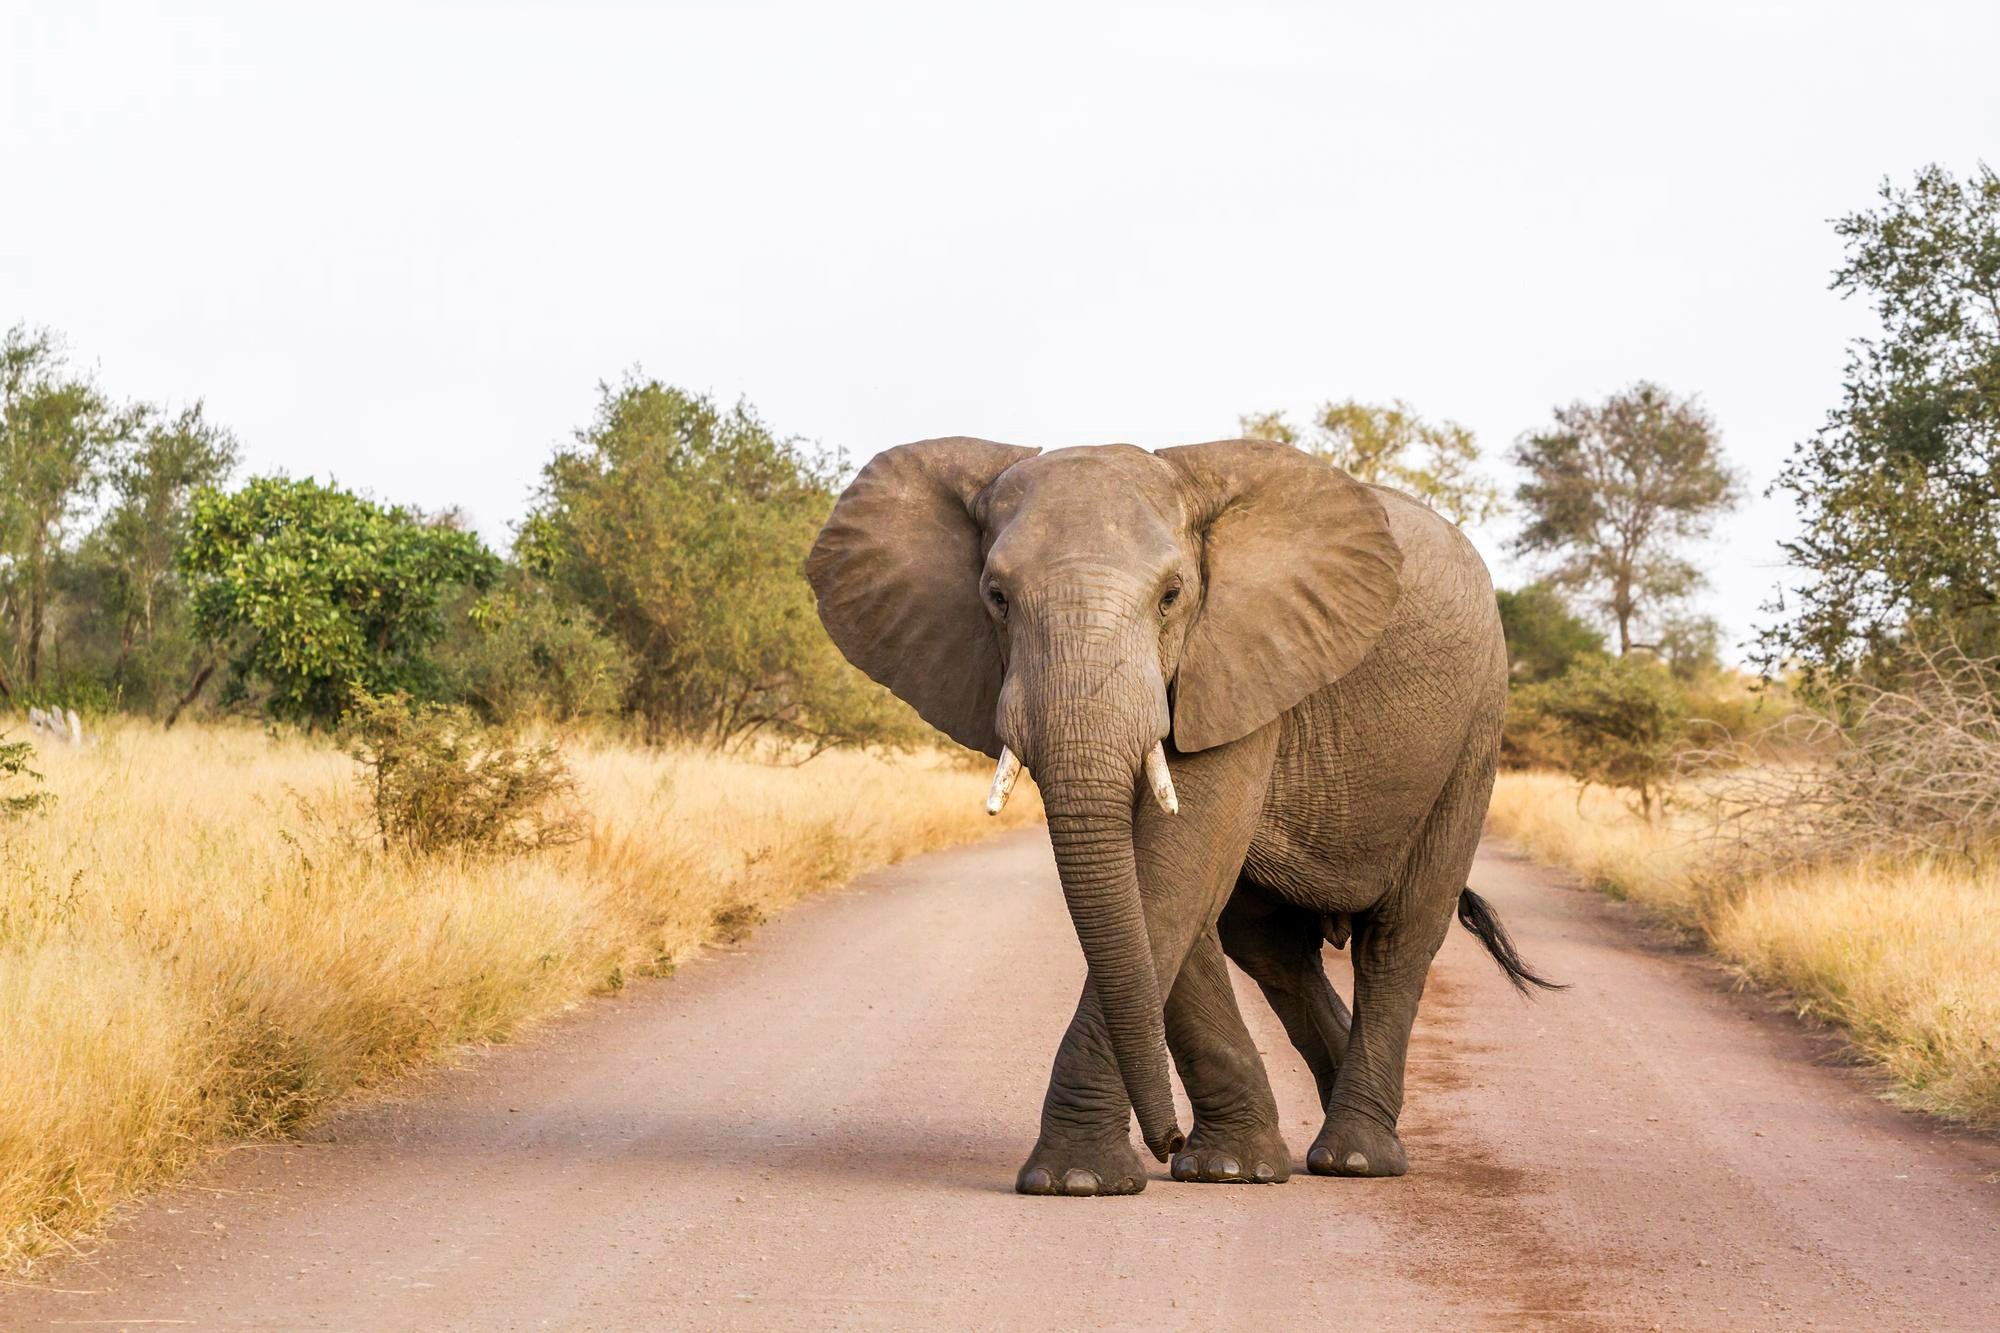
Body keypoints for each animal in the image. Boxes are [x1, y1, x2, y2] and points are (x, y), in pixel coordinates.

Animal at [807, 437, 1559, 1196]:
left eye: (1172, 596)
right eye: (996, 598)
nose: (1162, 1138)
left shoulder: (1240, 659)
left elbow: (1174, 870)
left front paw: (1078, 1178)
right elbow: (1166, 896)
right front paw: (1225, 1169)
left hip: (1475, 731)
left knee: (1399, 938)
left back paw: (1355, 1159)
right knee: (1271, 949)